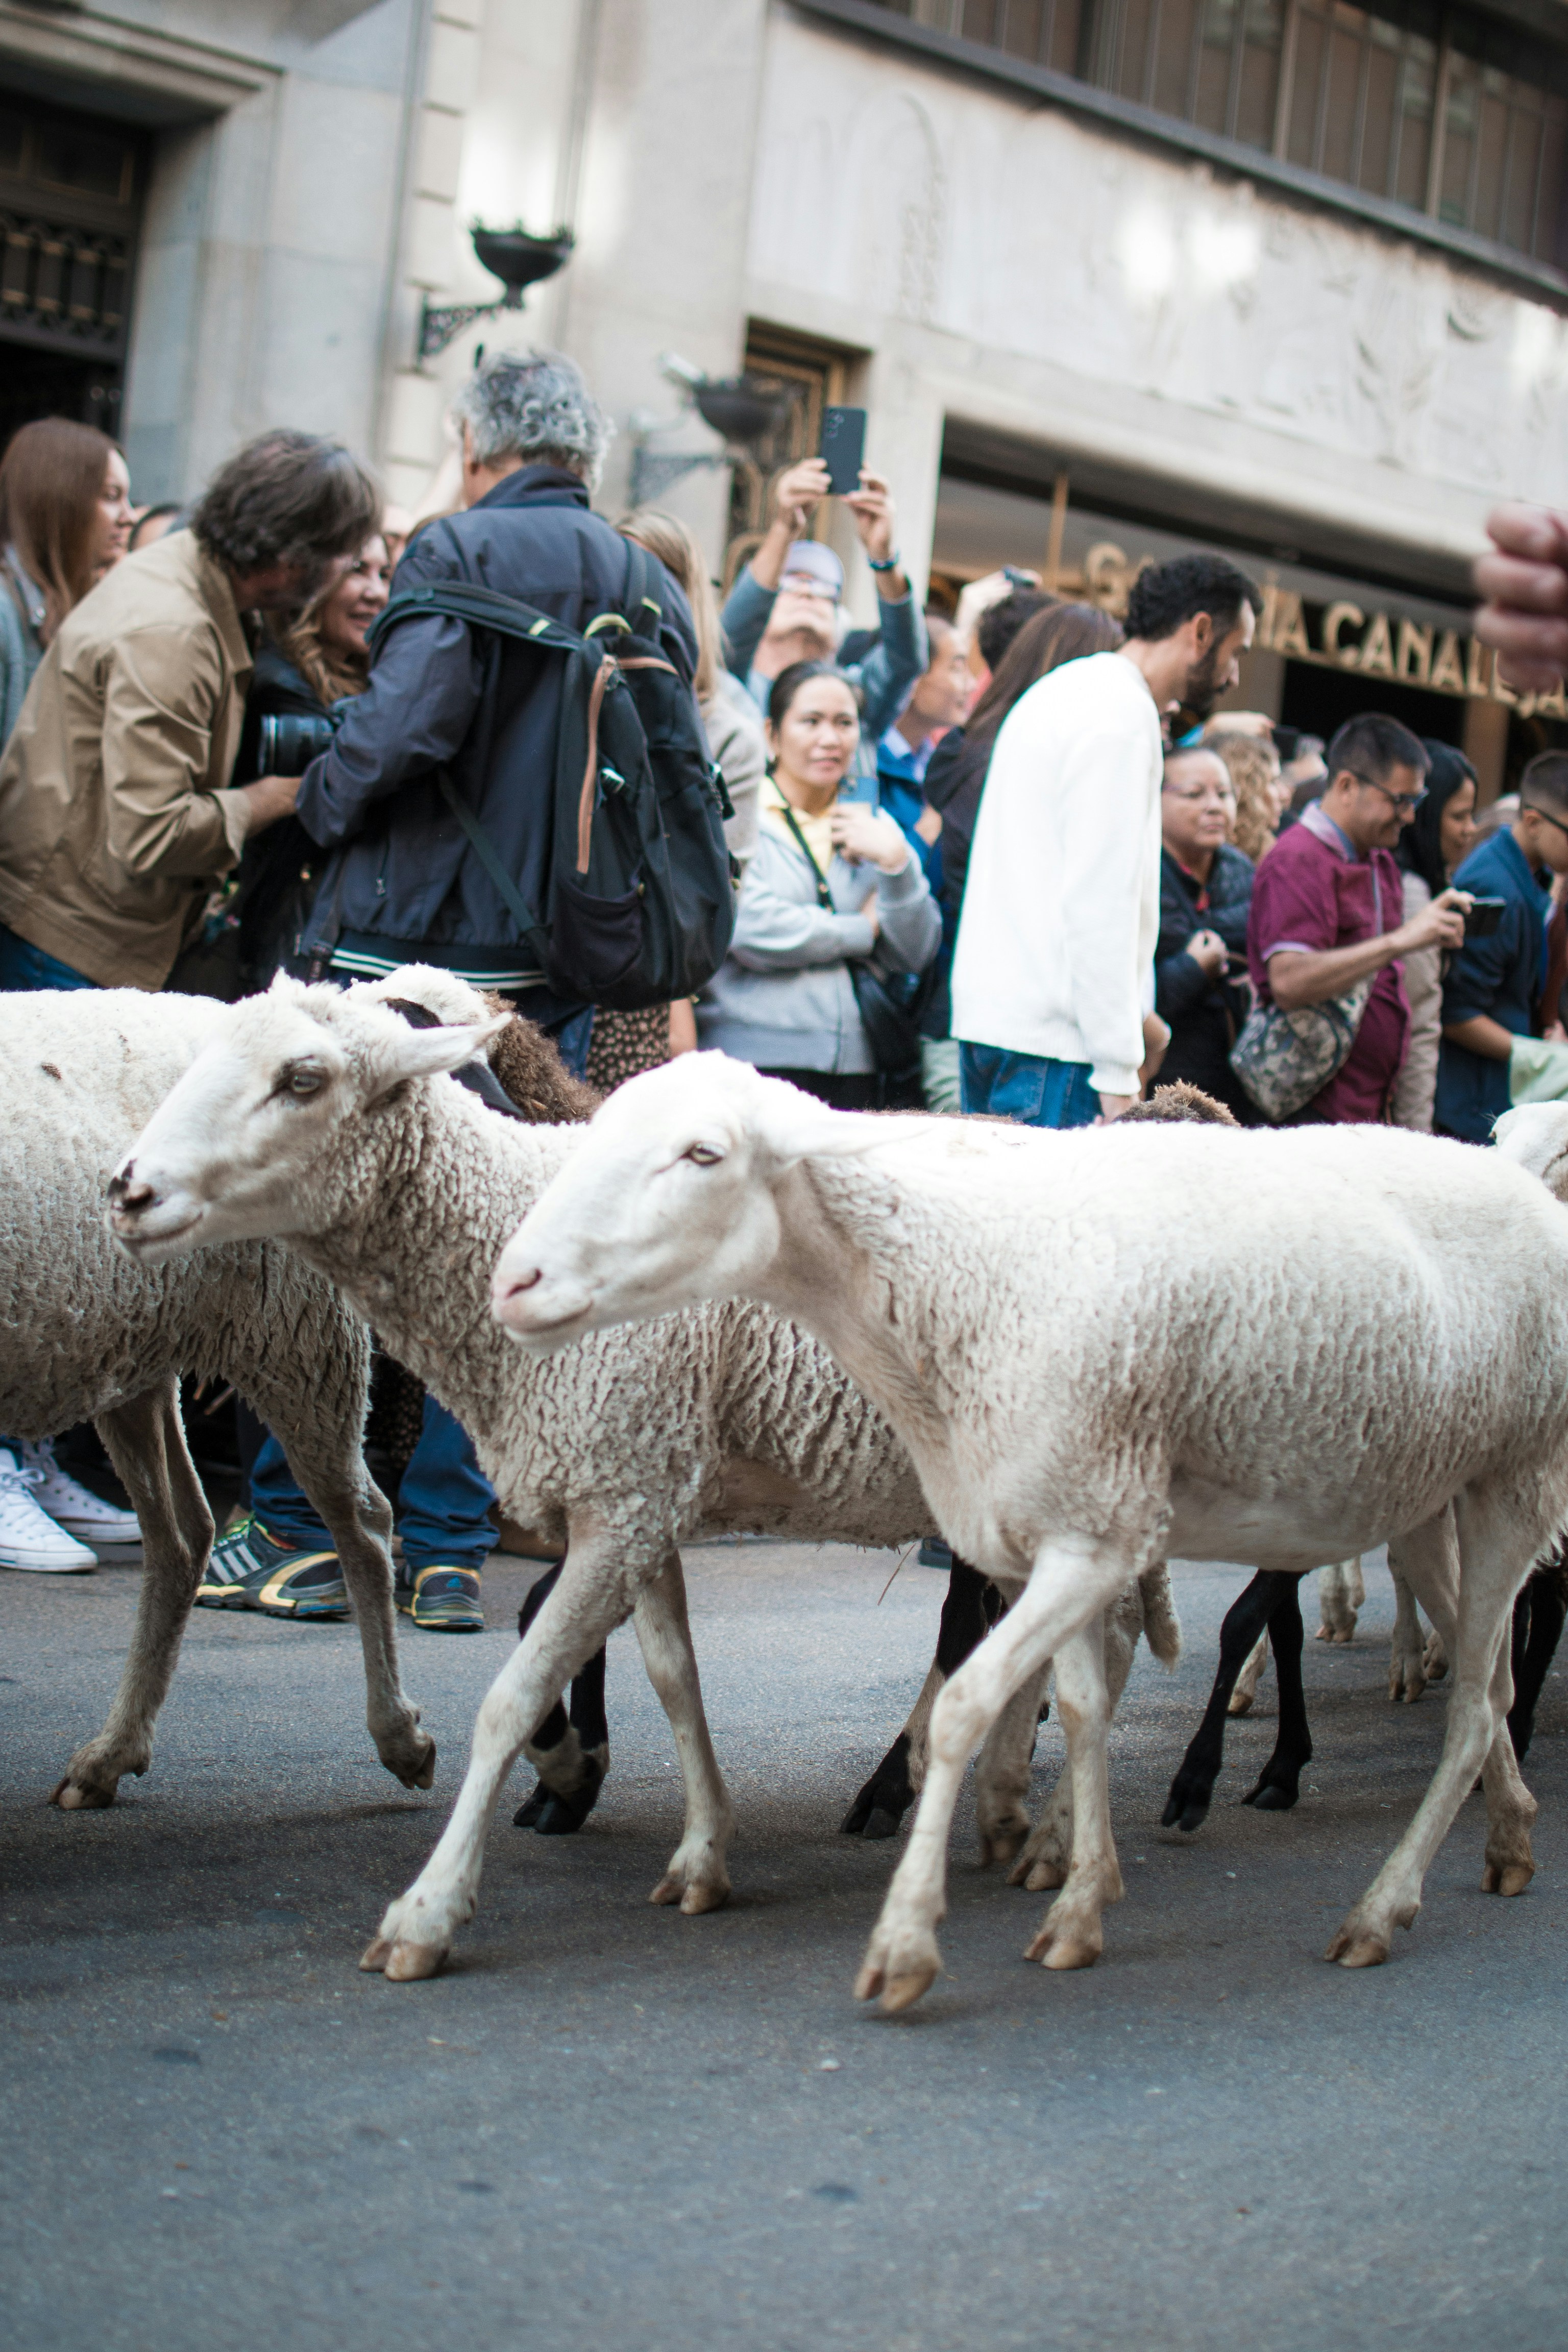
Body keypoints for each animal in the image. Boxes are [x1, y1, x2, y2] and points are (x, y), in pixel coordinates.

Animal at [0, 988, 432, 1807]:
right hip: (129, 1342)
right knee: (183, 1535)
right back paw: (112, 1754)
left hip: (297, 1329)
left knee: (362, 1520)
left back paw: (401, 1739)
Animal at [102, 972, 1177, 1979]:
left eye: (303, 1079)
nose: (127, 1190)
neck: (495, 1223)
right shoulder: (640, 1479)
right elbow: (671, 1674)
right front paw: (701, 1851)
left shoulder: (622, 1490)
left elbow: (511, 1697)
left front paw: (429, 1910)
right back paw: (1004, 1814)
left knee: (1106, 1641)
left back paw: (1052, 1845)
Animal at [491, 1051, 1568, 2012]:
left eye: (703, 1153)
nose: (515, 1280)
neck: (960, 1268)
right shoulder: (1059, 1533)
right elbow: (1084, 1707)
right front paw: (1077, 1902)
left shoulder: (1091, 1537)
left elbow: (965, 1706)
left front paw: (905, 1941)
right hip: (1428, 1497)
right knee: (1488, 1687)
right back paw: (1510, 1835)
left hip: (1518, 1480)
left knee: (1475, 1707)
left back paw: (1380, 1909)